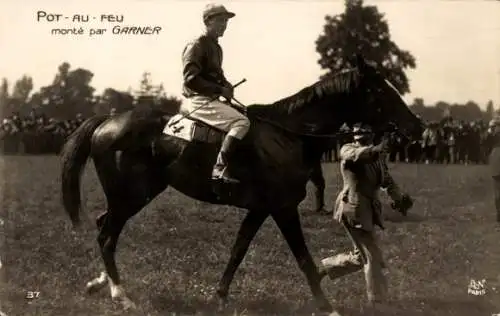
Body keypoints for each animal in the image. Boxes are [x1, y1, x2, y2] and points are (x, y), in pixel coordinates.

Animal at [60, 55, 424, 314]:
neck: (288, 135)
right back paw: (120, 295)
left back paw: (101, 283)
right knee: (107, 235)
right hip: (131, 196)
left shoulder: (260, 209)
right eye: (381, 90)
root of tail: (107, 121)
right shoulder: (282, 208)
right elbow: (303, 258)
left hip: (130, 197)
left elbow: (238, 249)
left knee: (103, 226)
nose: (417, 126)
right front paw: (326, 306)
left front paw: (219, 296)